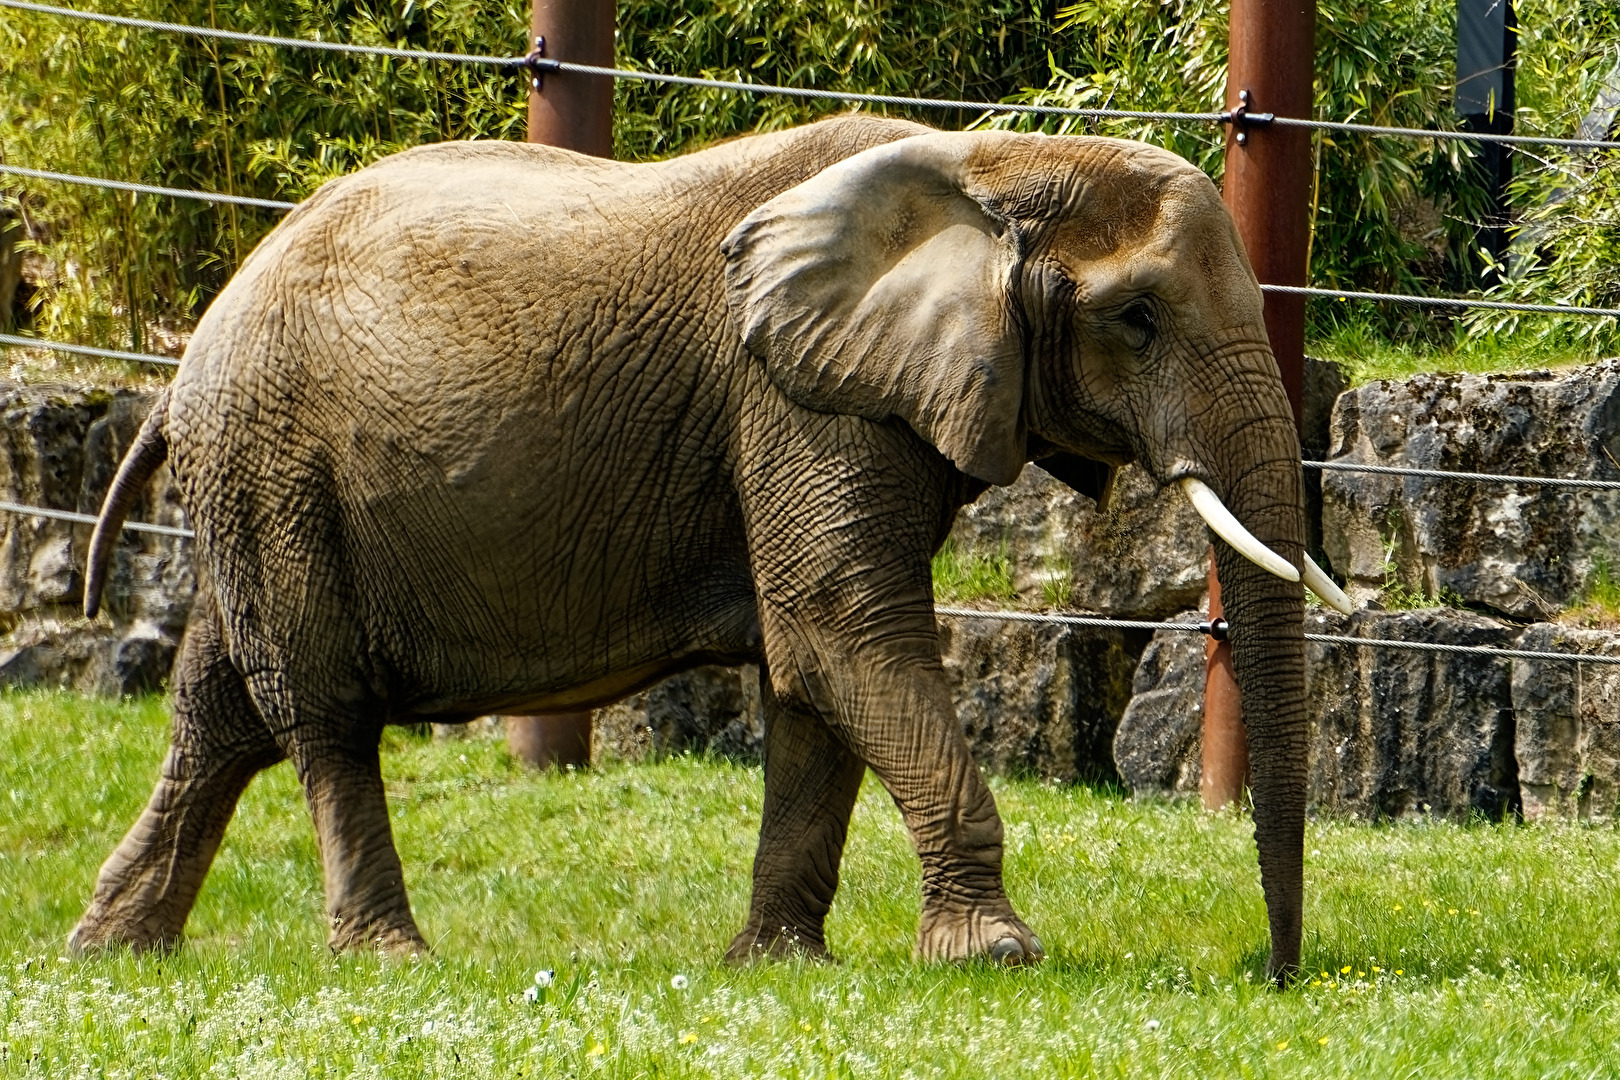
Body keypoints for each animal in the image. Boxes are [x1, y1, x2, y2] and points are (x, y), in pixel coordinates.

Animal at [68, 114, 1347, 982]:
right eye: (1136, 320)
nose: (1277, 974)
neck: (990, 161)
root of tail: (185, 359)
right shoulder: (793, 398)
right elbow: (842, 627)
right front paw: (994, 956)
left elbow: (813, 671)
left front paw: (779, 965)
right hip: (278, 467)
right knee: (320, 710)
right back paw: (387, 957)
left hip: (260, 482)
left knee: (221, 708)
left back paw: (113, 948)